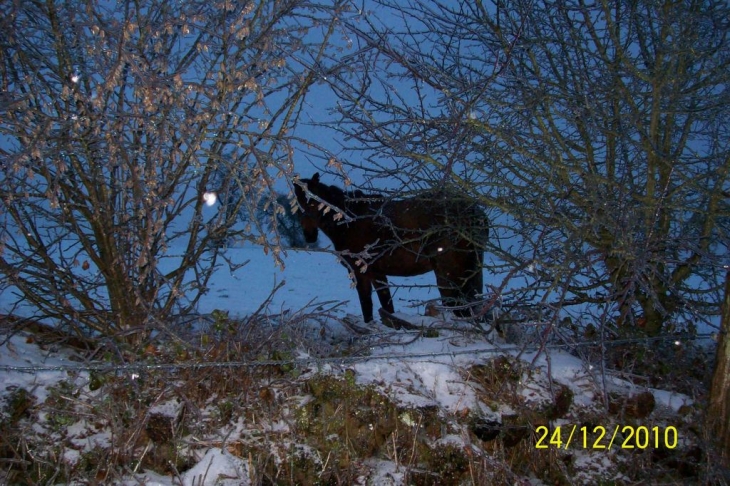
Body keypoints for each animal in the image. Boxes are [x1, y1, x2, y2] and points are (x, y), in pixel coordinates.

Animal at [292, 173, 486, 324]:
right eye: (297, 204)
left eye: (313, 202)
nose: (309, 235)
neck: (349, 222)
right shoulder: (377, 274)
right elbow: (387, 307)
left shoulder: (361, 273)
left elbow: (367, 306)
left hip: (448, 275)